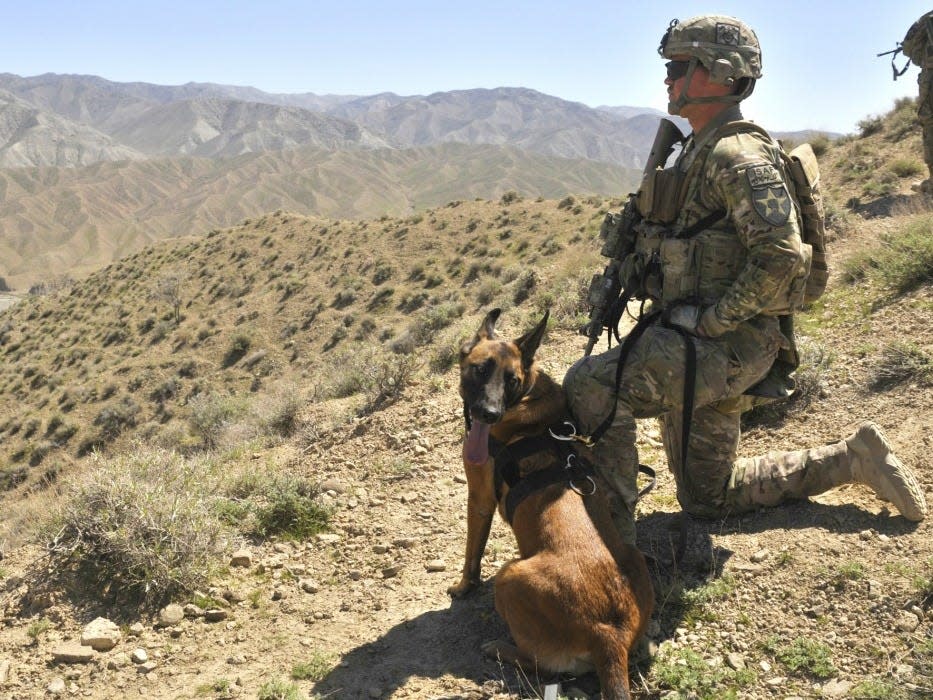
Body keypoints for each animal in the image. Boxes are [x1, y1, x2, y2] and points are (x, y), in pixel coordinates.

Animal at [448, 308, 652, 700]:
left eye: (511, 380)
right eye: (480, 370)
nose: (489, 413)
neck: (527, 396)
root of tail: (609, 636)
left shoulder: (478, 497)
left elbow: (471, 553)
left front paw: (464, 587)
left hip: (509, 577)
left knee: (541, 666)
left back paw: (500, 649)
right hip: (635, 557)